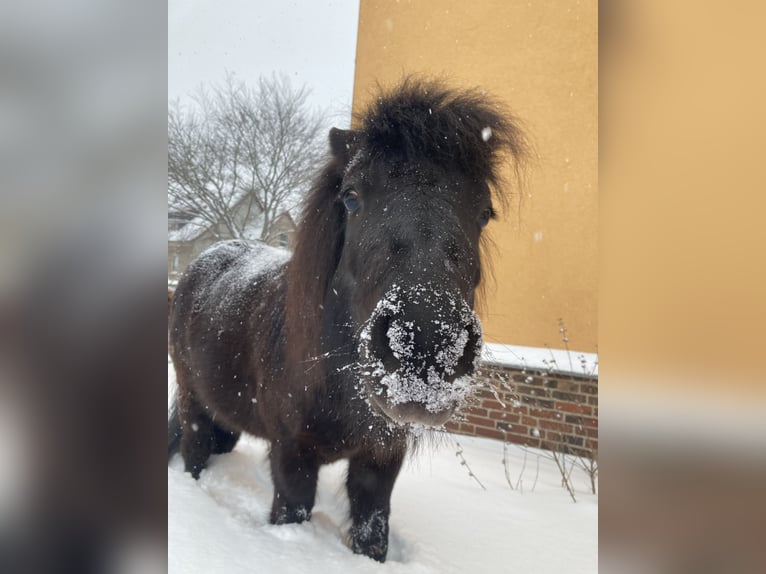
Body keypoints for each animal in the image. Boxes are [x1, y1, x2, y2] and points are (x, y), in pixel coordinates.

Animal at [168, 79, 528, 564]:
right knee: (195, 455)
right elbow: (292, 512)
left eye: (484, 212)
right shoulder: (292, 456)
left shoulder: (380, 460)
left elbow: (373, 532)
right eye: (352, 197)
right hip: (193, 403)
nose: (425, 348)